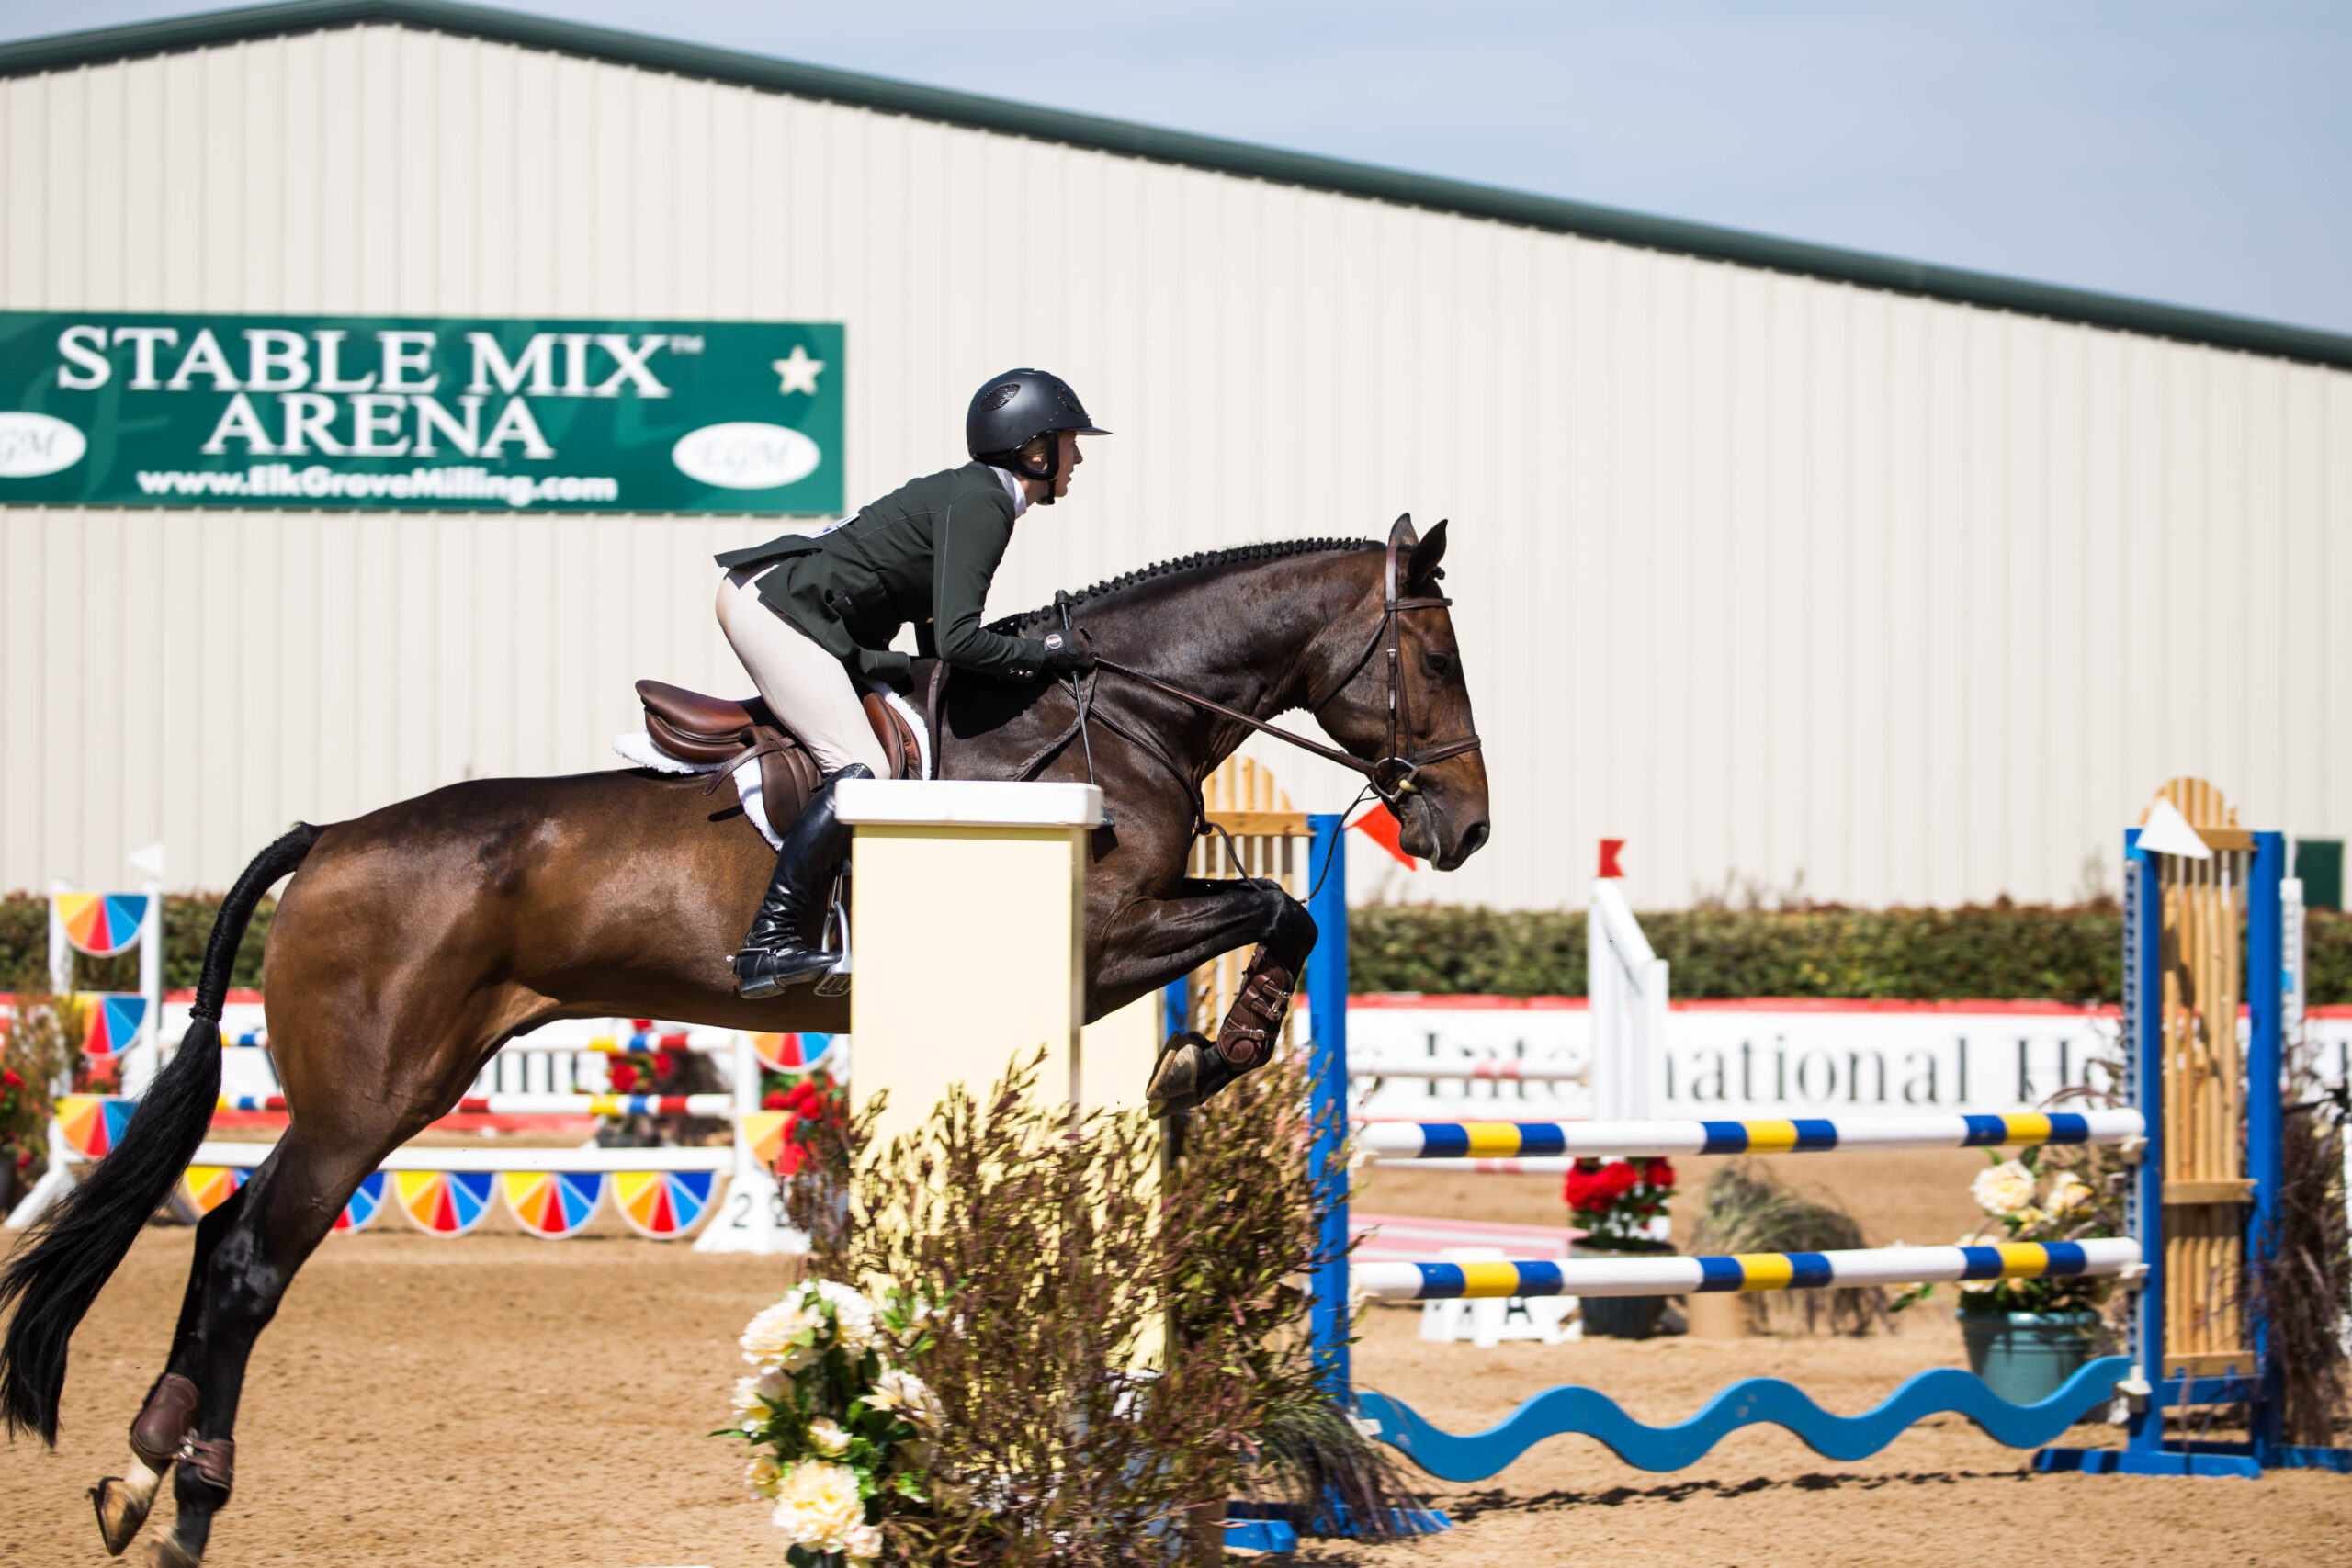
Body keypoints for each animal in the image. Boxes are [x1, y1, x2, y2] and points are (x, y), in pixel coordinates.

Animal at [0, 514, 1489, 1567]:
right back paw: (183, 1496)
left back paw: (149, 1475)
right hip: (371, 1097)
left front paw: (1201, 1056)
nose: (1466, 828)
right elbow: (1281, 904)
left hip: (390, 1090)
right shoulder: (1107, 934)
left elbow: (1274, 908)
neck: (1108, 706)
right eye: (1432, 658)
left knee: (224, 1235)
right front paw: (1211, 1052)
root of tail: (331, 837)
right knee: (254, 1256)